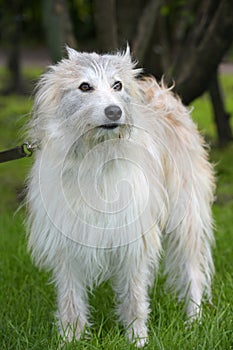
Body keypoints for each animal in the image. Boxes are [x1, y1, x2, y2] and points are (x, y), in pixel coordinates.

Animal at [26, 47, 216, 348]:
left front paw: (137, 338)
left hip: (187, 216)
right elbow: (70, 298)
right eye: (84, 86)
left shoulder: (134, 237)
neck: (96, 156)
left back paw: (193, 321)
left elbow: (135, 296)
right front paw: (71, 338)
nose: (115, 111)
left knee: (193, 272)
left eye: (118, 85)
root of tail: (159, 89)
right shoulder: (67, 240)